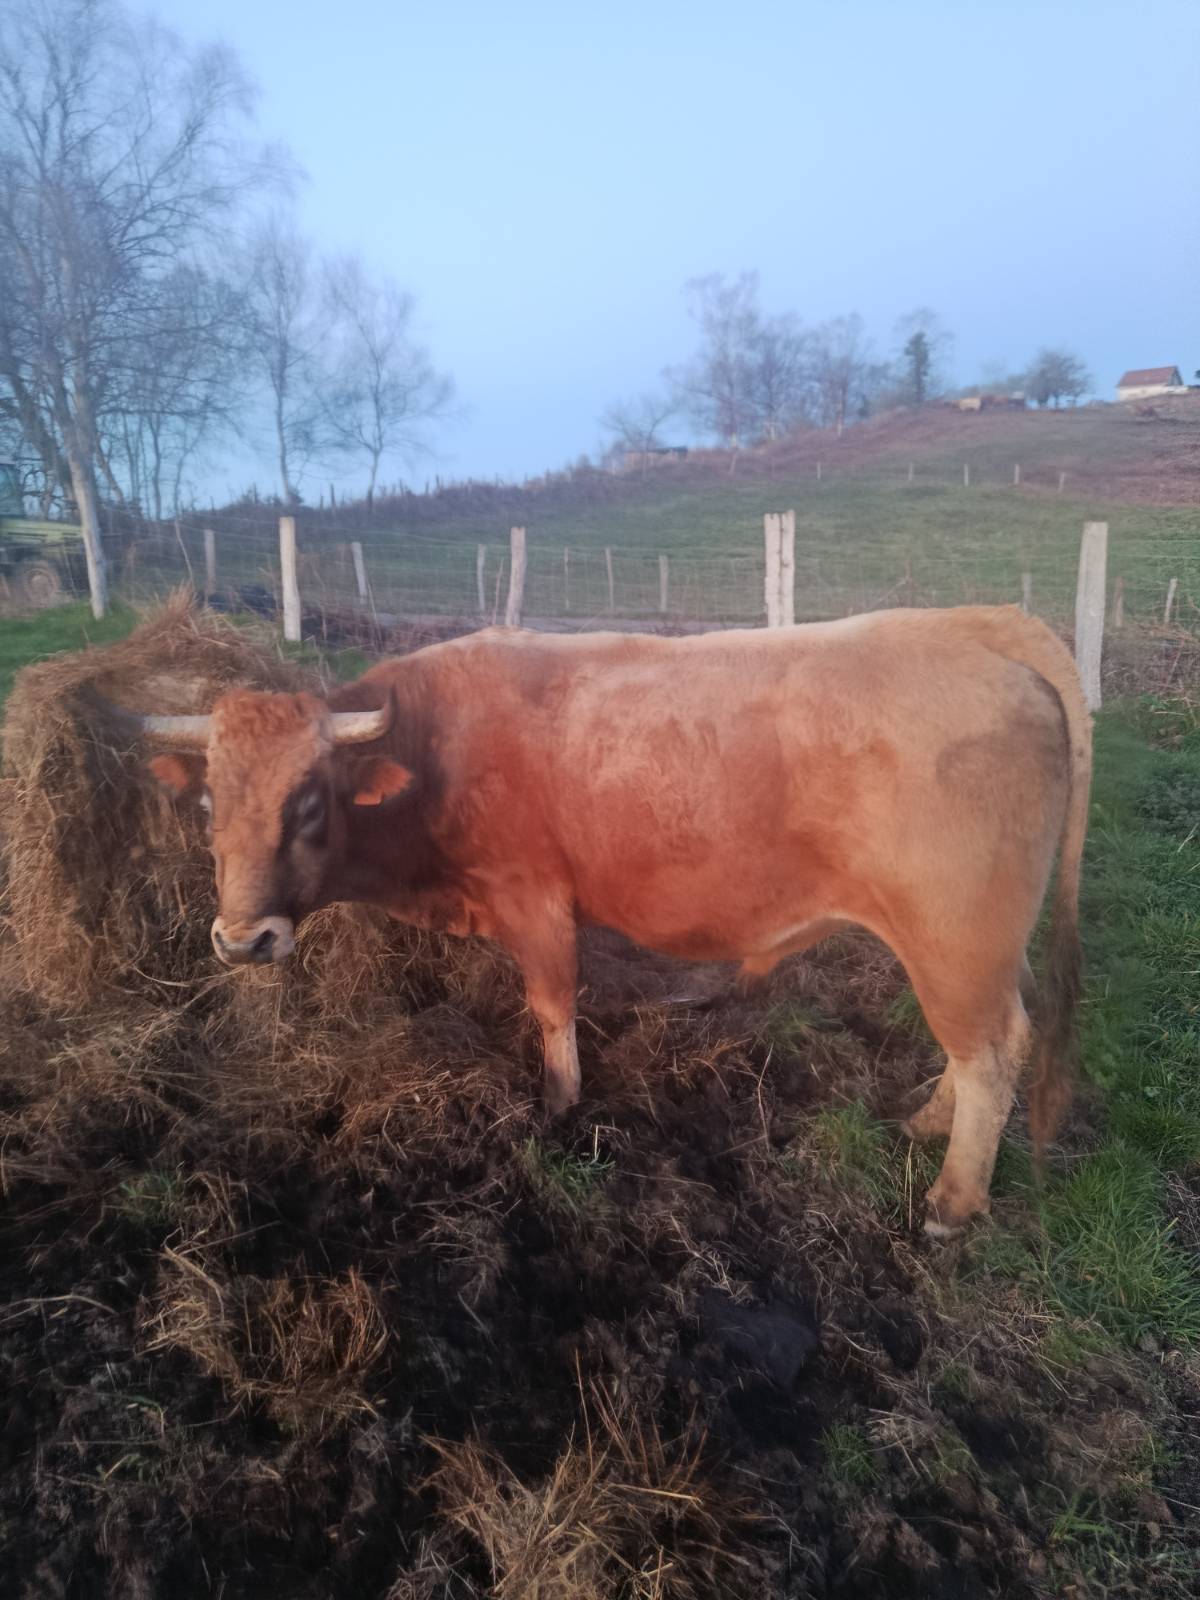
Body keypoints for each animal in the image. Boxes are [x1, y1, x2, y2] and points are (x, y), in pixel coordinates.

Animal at [134, 606, 1091, 1236]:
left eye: (307, 802)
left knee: (991, 1052)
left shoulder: (535, 899)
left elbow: (554, 1005)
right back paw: (928, 1124)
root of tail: (969, 628)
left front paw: (558, 1106)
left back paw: (953, 1204)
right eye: (210, 803)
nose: (242, 940)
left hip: (954, 937)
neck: (433, 754)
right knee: (986, 1041)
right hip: (978, 946)